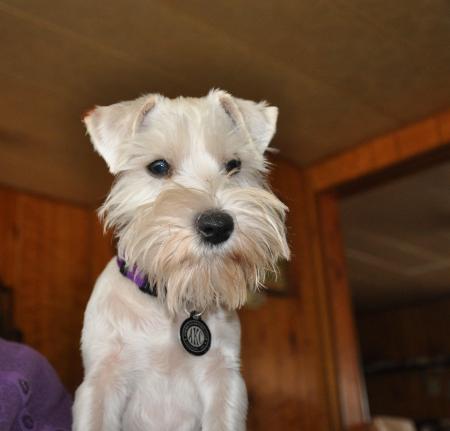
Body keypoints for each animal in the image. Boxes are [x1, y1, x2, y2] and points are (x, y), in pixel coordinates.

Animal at [72, 89, 290, 430]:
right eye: (158, 167)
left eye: (233, 165)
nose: (217, 226)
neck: (167, 304)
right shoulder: (101, 382)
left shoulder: (224, 382)